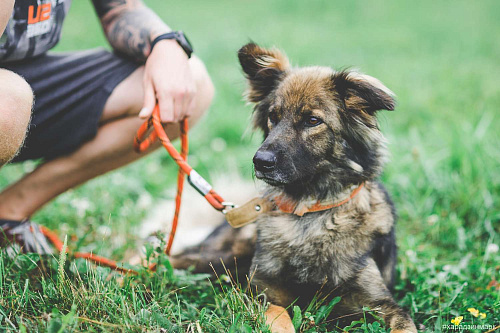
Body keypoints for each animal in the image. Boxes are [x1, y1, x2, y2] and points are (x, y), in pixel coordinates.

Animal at [174, 44, 416, 332]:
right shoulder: (263, 293)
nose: (260, 162)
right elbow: (279, 317)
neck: (309, 213)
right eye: (272, 117)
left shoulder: (379, 302)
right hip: (221, 254)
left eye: (312, 120)